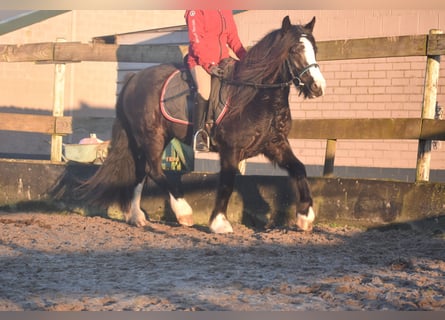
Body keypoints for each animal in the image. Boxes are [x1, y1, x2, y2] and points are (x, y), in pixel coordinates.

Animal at [64, 15, 324, 232]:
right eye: (295, 49)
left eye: (315, 49)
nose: (318, 87)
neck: (256, 95)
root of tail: (134, 78)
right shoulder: (231, 150)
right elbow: (227, 183)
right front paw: (219, 223)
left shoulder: (275, 144)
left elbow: (299, 169)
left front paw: (305, 217)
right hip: (151, 136)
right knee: (154, 170)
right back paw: (183, 213)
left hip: (152, 137)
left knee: (141, 171)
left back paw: (136, 216)